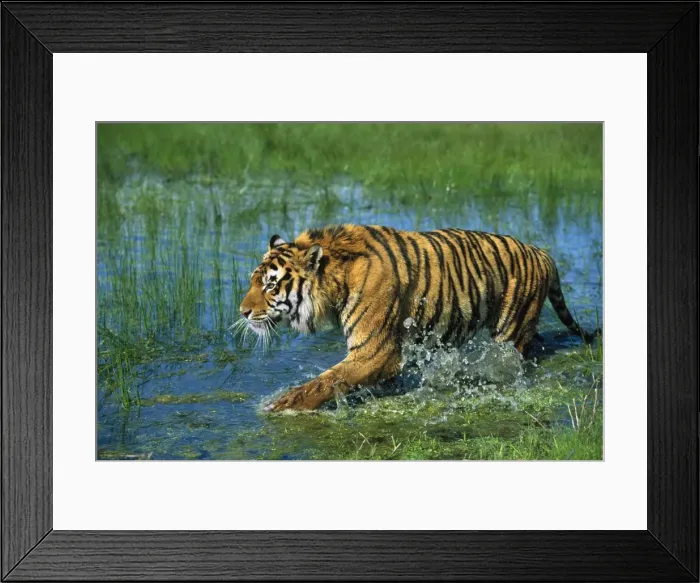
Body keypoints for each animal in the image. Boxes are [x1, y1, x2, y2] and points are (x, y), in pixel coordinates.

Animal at [238, 224, 600, 412]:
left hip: (509, 330)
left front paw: (279, 405)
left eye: (270, 284)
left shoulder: (374, 352)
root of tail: (541, 251)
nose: (242, 311)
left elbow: (323, 382)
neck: (336, 279)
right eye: (254, 281)